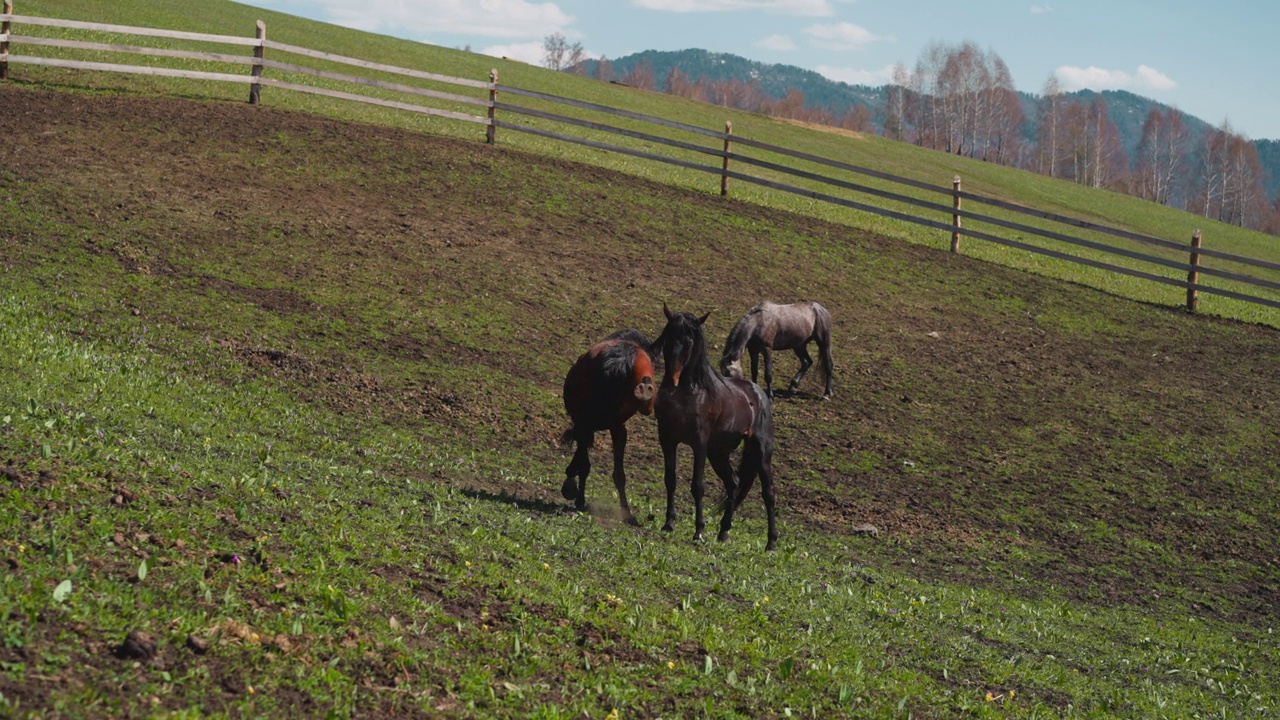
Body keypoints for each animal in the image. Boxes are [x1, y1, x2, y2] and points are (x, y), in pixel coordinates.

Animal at [655, 303, 773, 548]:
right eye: (667, 336)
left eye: (689, 341)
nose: (671, 381)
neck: (691, 391)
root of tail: (759, 394)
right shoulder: (667, 438)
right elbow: (670, 480)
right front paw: (668, 523)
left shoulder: (699, 443)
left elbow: (697, 486)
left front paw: (698, 531)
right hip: (718, 453)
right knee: (734, 484)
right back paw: (724, 531)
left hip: (760, 452)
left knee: (768, 494)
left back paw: (771, 543)